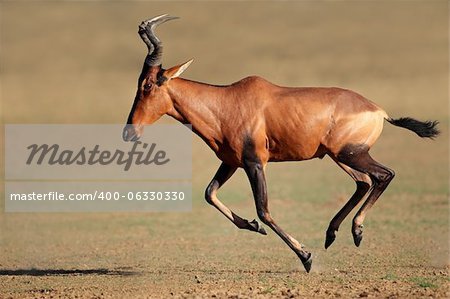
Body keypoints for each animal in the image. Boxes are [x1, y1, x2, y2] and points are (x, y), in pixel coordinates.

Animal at [121, 14, 438, 274]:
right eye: (138, 83)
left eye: (147, 85)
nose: (129, 132)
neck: (226, 101)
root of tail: (378, 110)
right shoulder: (231, 162)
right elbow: (210, 194)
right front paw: (253, 226)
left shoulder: (254, 163)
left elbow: (264, 208)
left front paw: (306, 257)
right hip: (339, 156)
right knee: (363, 182)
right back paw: (331, 234)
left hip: (351, 154)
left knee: (383, 175)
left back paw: (356, 232)